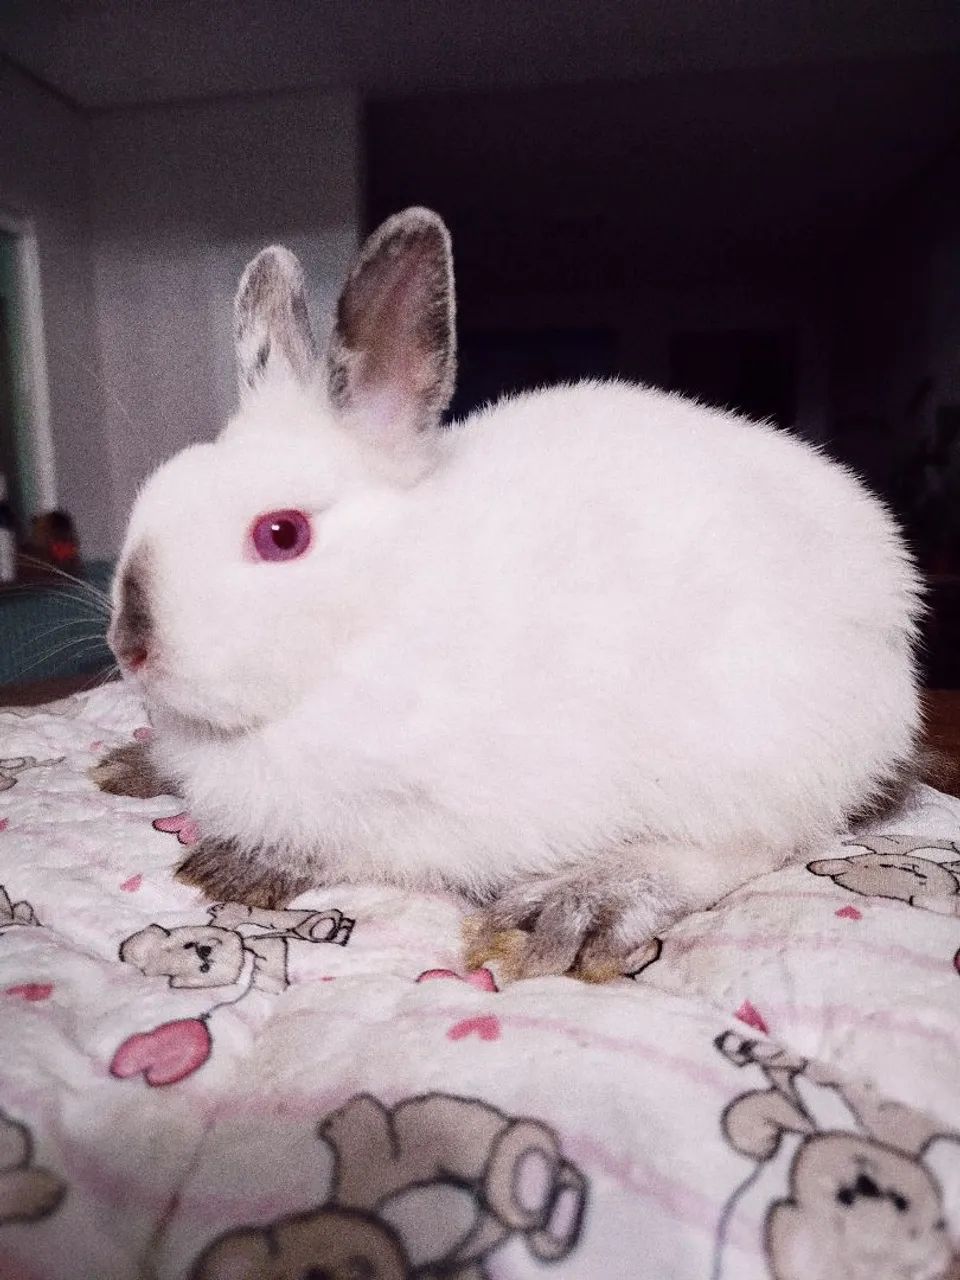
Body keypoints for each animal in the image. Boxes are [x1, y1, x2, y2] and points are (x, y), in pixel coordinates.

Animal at [98, 207, 922, 982]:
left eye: (281, 534)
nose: (131, 648)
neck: (376, 617)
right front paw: (136, 765)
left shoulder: (432, 819)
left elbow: (355, 850)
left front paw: (237, 865)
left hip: (750, 746)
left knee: (756, 845)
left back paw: (577, 907)